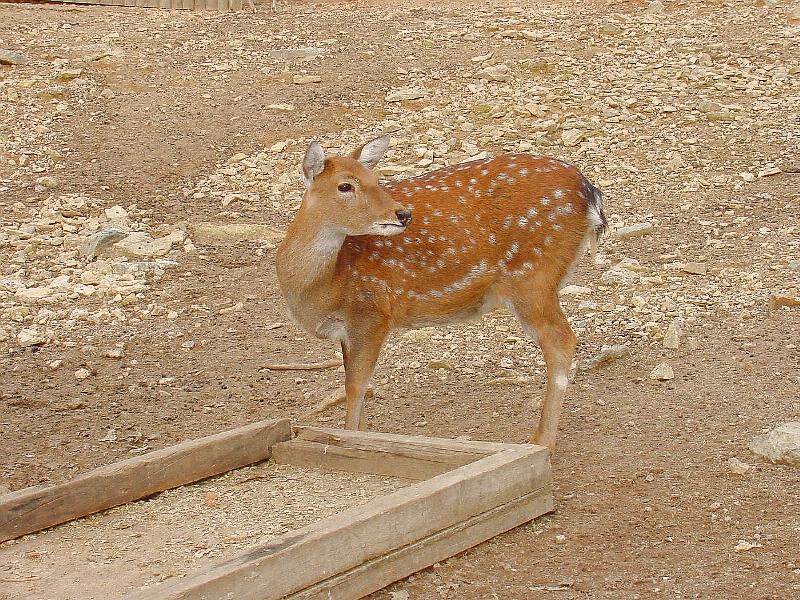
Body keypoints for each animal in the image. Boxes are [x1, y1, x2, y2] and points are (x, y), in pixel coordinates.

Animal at [275, 135, 606, 449]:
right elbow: (354, 386)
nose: (403, 214)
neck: (322, 287)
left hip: (532, 275)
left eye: (375, 179)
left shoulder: (371, 311)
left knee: (562, 341)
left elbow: (356, 386)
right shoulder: (347, 329)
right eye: (345, 185)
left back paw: (541, 441)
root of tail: (589, 191)